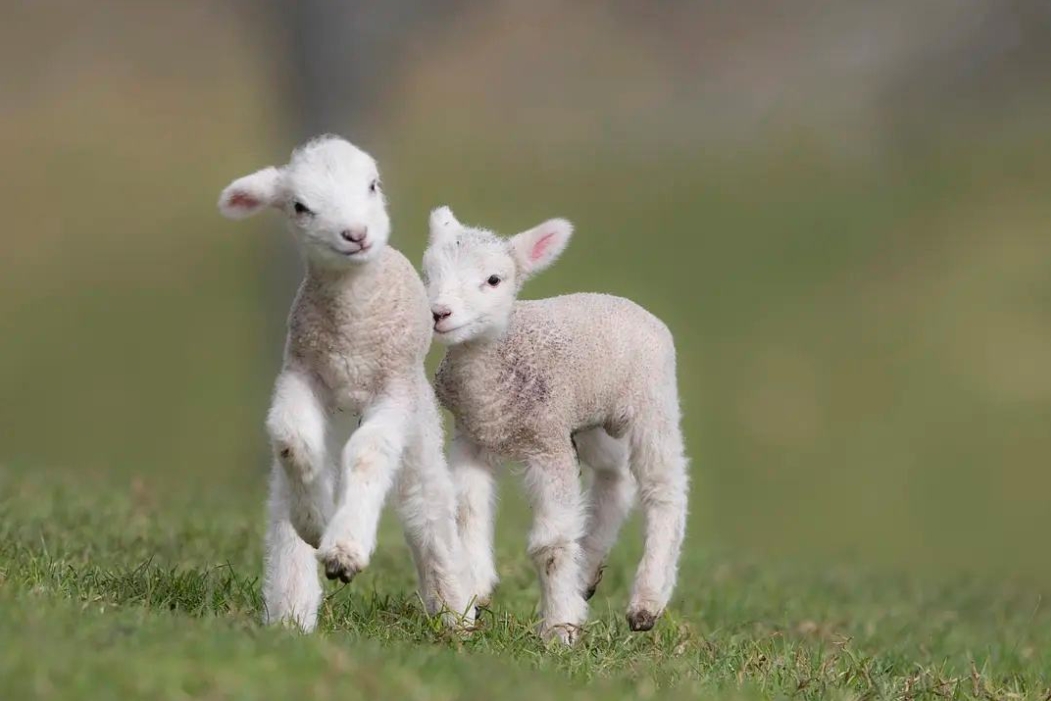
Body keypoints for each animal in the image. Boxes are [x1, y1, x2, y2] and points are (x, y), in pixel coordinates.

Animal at [217, 135, 472, 630]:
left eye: (373, 184)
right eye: (299, 206)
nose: (356, 234)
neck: (352, 333)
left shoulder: (392, 390)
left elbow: (368, 454)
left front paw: (344, 551)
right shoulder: (302, 372)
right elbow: (291, 440)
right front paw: (317, 523)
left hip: (416, 414)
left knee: (425, 502)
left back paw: (455, 609)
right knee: (285, 507)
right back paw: (291, 613)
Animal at [418, 205, 689, 643]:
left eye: (494, 280)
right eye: (428, 272)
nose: (438, 313)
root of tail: (626, 303)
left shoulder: (547, 443)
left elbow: (552, 545)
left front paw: (560, 628)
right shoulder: (471, 437)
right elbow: (467, 513)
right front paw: (473, 592)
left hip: (653, 400)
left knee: (664, 489)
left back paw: (646, 602)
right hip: (590, 420)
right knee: (616, 480)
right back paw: (586, 574)